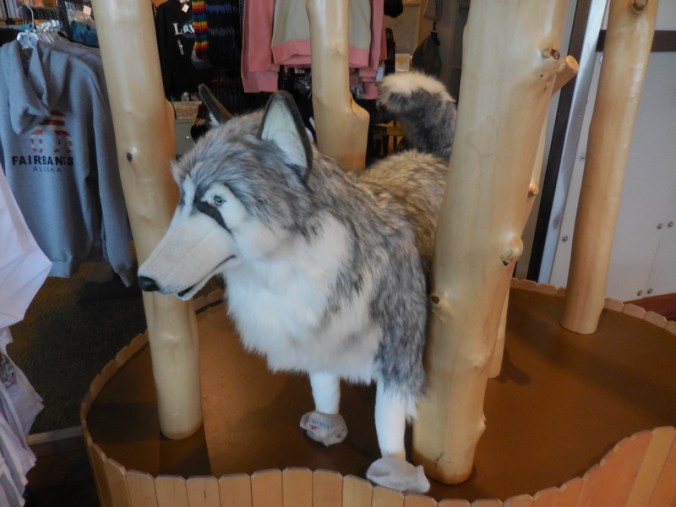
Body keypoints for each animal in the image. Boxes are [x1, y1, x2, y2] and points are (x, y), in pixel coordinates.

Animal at [138, 71, 456, 493]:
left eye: (218, 202)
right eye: (182, 199)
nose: (145, 279)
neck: (291, 265)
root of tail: (427, 155)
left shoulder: (398, 349)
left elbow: (386, 416)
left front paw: (394, 471)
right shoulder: (316, 335)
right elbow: (323, 384)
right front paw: (327, 423)